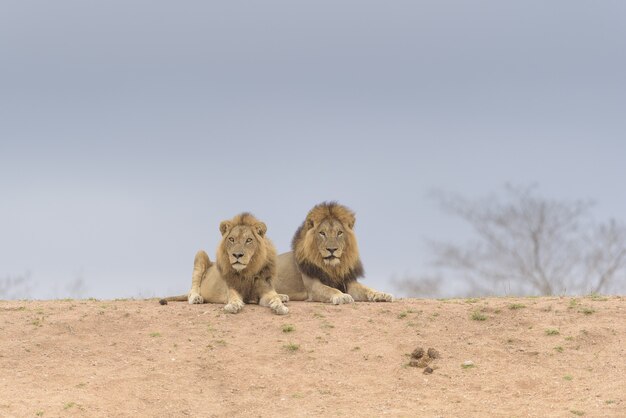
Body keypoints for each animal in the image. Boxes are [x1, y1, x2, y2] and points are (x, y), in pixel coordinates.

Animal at [160, 214, 288, 316]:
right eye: (231, 239)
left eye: (248, 240)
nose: (237, 255)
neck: (247, 271)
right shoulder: (232, 288)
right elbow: (233, 297)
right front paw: (233, 305)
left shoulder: (265, 289)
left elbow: (274, 297)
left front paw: (280, 306)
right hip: (200, 254)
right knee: (193, 289)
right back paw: (196, 298)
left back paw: (283, 296)